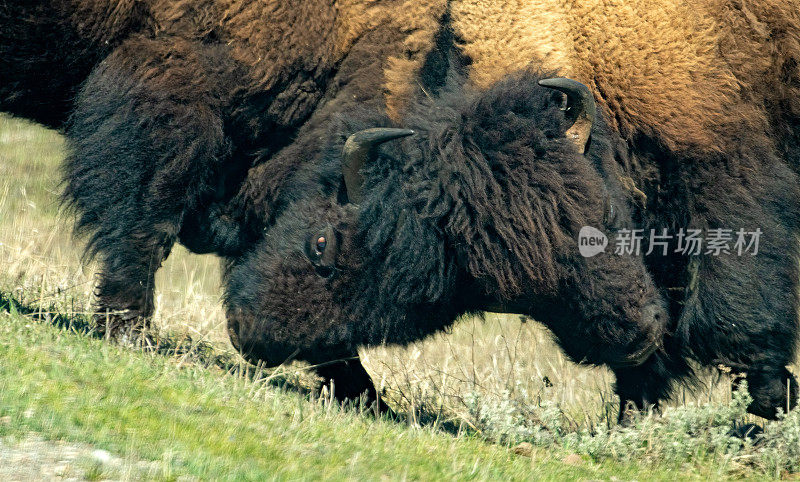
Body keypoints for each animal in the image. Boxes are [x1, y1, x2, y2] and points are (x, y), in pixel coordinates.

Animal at [4, 0, 800, 422]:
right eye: (324, 244)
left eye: (452, 289)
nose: (254, 336)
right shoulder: (175, 83)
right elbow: (145, 217)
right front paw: (129, 330)